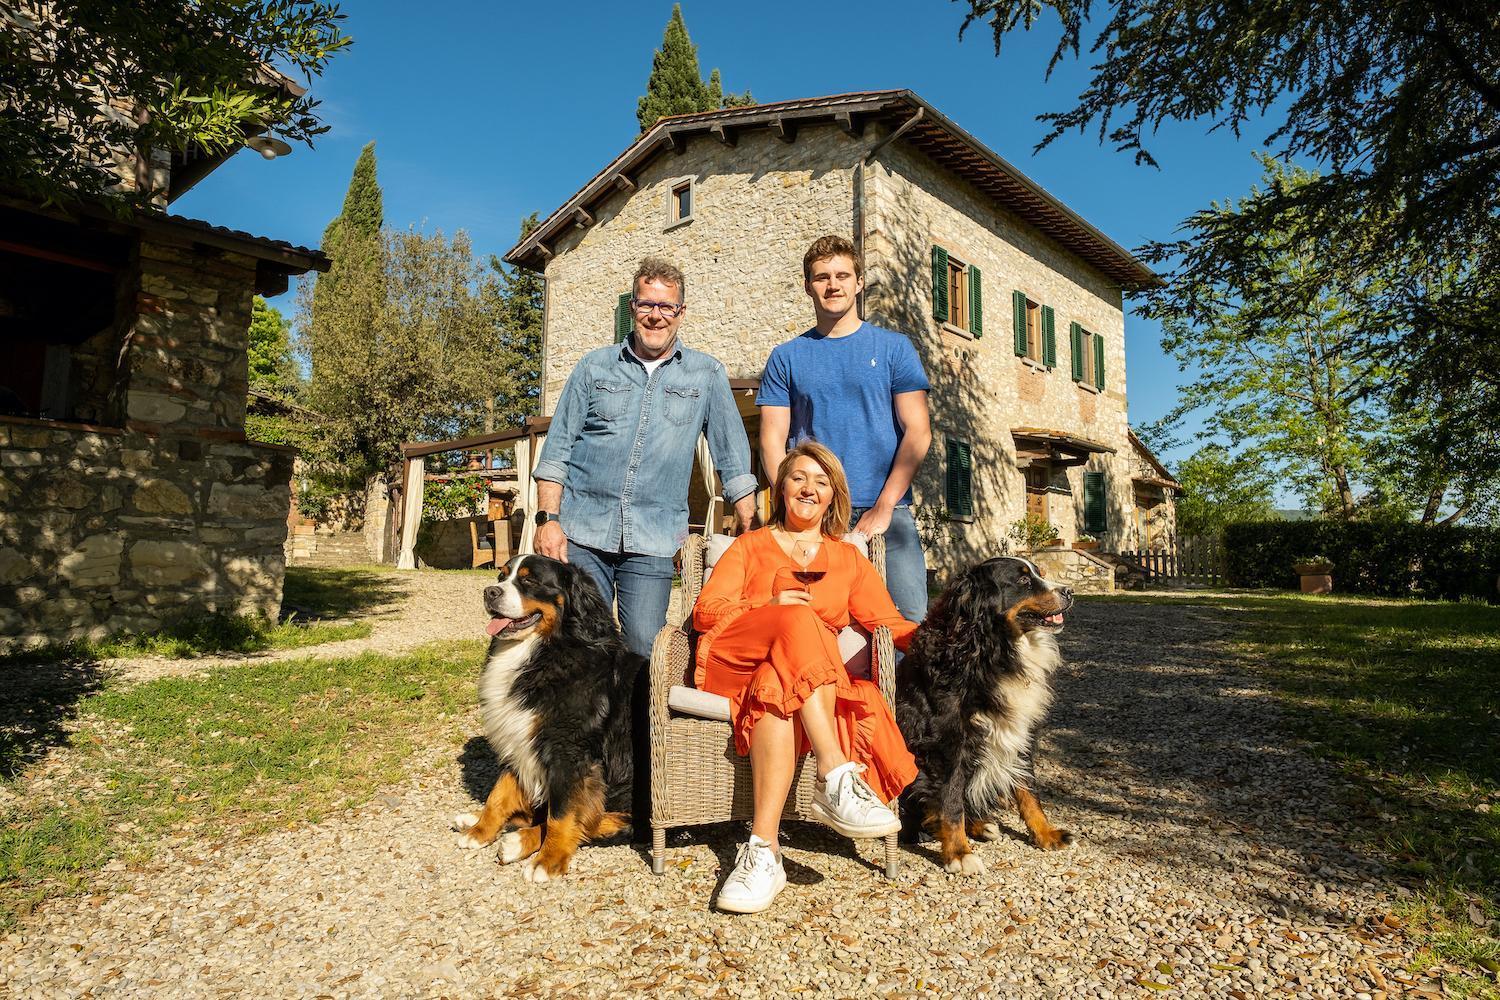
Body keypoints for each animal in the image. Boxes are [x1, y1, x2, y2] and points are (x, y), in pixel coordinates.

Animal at [447, 554, 642, 881]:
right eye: (501, 576)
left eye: (529, 580)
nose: (490, 592)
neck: (543, 653)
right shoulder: (519, 737)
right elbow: (498, 794)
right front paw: (481, 830)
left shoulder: (568, 752)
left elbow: (561, 815)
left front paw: (549, 860)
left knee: (607, 821)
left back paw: (518, 841)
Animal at [894, 554, 1074, 875]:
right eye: (1024, 580)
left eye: (1039, 572)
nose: (1069, 591)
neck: (993, 649)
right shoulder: (948, 743)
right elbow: (951, 801)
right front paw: (958, 853)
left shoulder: (1020, 734)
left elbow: (1029, 790)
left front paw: (1045, 834)